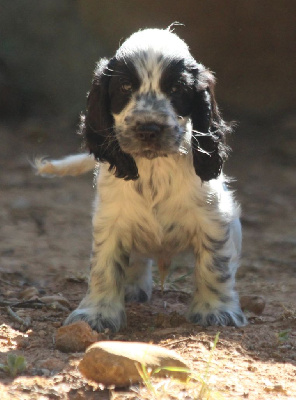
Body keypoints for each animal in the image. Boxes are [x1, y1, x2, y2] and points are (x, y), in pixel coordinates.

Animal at [35, 28, 246, 332]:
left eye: (176, 89)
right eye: (125, 87)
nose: (148, 128)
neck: (154, 167)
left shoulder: (214, 217)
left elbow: (215, 264)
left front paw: (216, 311)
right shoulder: (111, 219)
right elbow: (105, 267)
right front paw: (97, 314)